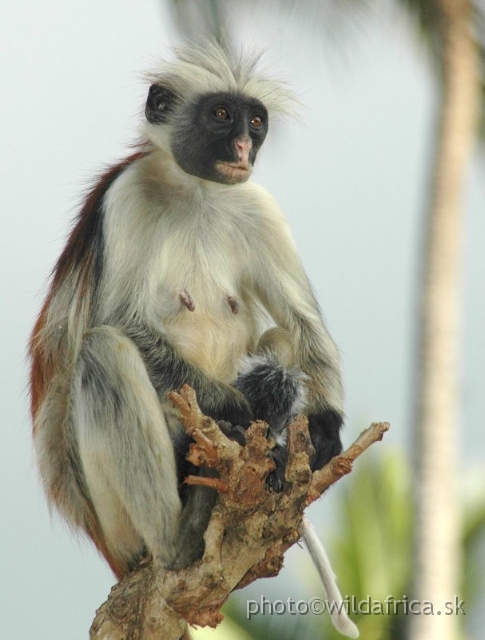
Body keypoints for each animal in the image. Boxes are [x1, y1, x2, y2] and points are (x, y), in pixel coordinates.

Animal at [28, 42, 358, 636]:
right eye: (221, 115)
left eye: (256, 120)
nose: (244, 146)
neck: (197, 192)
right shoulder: (127, 197)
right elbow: (122, 321)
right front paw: (243, 409)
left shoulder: (256, 203)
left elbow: (302, 323)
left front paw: (322, 431)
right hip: (116, 523)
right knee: (103, 350)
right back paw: (180, 536)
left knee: (279, 335)